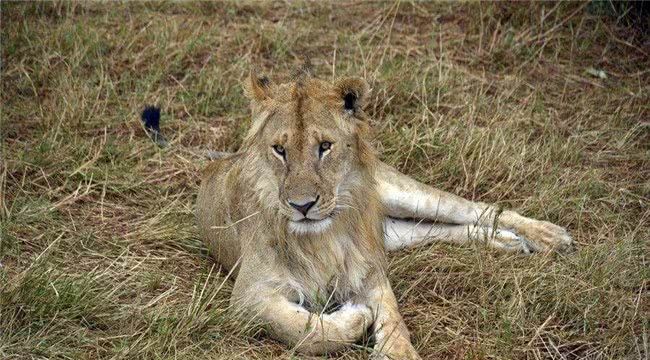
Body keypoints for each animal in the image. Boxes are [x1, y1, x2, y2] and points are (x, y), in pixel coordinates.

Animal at [195, 67, 568, 358]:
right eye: (279, 150)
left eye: (325, 147)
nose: (302, 206)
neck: (322, 238)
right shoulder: (248, 297)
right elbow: (305, 331)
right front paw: (355, 316)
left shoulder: (368, 265)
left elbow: (393, 315)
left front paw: (397, 349)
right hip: (394, 232)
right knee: (439, 228)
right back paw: (507, 241)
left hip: (402, 194)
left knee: (471, 207)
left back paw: (546, 235)